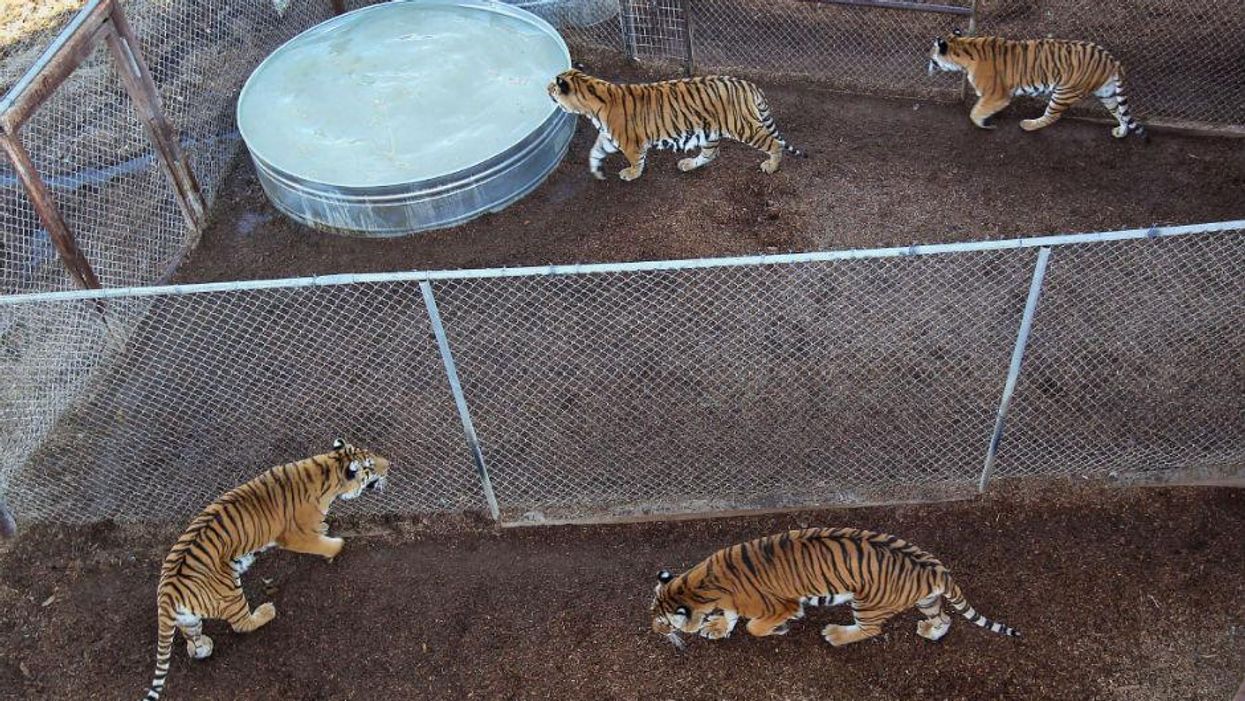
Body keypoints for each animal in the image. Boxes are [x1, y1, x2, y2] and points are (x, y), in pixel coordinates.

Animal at [142, 439, 390, 701]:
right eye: (370, 466)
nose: (390, 464)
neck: (327, 469)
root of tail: (168, 593)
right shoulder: (294, 536)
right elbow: (321, 544)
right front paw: (336, 546)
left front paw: (324, 528)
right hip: (230, 592)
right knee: (241, 624)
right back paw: (266, 611)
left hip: (189, 618)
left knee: (193, 638)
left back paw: (203, 647)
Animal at [546, 68, 805, 182]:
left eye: (552, 86)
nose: (546, 89)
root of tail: (748, 85)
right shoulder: (610, 137)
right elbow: (595, 150)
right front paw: (595, 170)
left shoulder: (631, 142)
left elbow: (636, 160)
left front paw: (631, 174)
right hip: (711, 132)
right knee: (711, 154)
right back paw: (688, 164)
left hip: (744, 127)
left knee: (774, 143)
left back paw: (771, 166)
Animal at [650, 527, 1018, 649]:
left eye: (663, 621)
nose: (653, 630)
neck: (700, 585)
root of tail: (935, 567)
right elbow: (730, 615)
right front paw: (717, 627)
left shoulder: (782, 604)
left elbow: (755, 626)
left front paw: (779, 629)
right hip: (927, 600)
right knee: (946, 618)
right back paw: (930, 631)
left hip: (867, 602)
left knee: (870, 629)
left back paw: (836, 635)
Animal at [927, 30, 1147, 140]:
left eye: (932, 56)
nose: (926, 63)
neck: (964, 46)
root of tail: (1112, 60)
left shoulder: (997, 94)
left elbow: (975, 112)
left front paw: (984, 124)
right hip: (1107, 93)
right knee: (1121, 114)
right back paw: (1121, 133)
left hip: (1064, 92)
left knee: (1052, 116)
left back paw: (1028, 125)